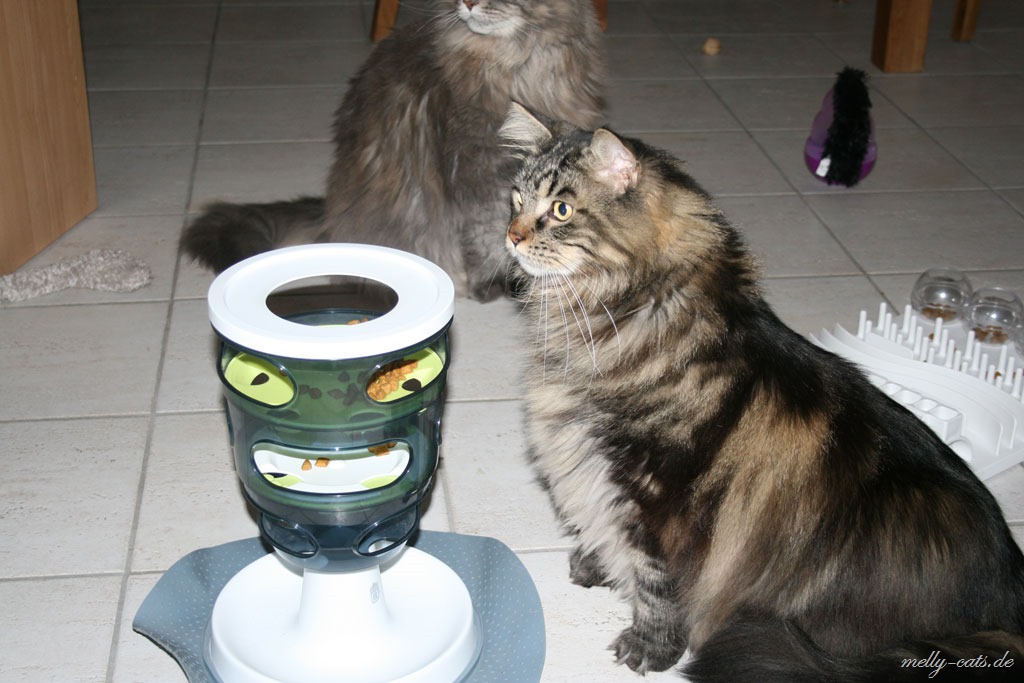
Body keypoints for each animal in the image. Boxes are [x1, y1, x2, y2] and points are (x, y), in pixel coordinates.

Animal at [181, 0, 604, 301]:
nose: (468, 2)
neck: (520, 60)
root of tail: (330, 212)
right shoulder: (477, 172)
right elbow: (491, 234)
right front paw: (499, 281)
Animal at [499, 102, 1024, 682]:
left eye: (562, 209)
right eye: (517, 200)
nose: (512, 236)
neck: (640, 309)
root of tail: (1010, 606)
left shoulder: (658, 499)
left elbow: (658, 584)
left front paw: (650, 649)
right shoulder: (591, 464)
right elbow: (599, 520)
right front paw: (595, 562)